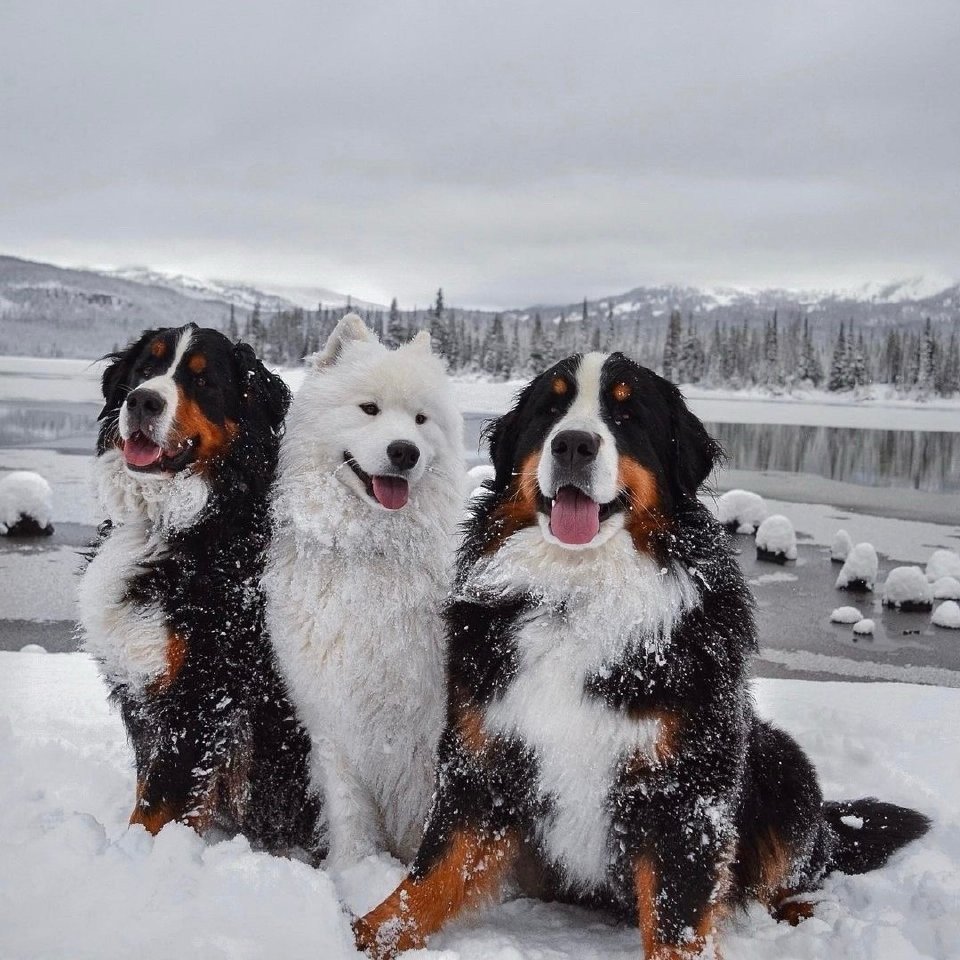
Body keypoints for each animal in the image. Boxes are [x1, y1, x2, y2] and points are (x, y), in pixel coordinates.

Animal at [79, 324, 318, 856]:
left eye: (203, 381)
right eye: (147, 367)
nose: (142, 401)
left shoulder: (202, 694)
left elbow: (157, 802)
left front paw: (139, 857)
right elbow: (149, 785)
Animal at [266, 316, 464, 872]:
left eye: (420, 420)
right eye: (369, 408)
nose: (405, 451)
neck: (369, 553)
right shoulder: (332, 720)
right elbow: (349, 813)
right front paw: (352, 873)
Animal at [354, 352, 928, 960]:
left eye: (627, 415)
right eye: (550, 409)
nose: (573, 444)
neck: (578, 597)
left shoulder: (686, 789)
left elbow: (678, 920)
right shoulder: (483, 756)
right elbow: (430, 876)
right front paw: (362, 933)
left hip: (782, 761)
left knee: (802, 864)